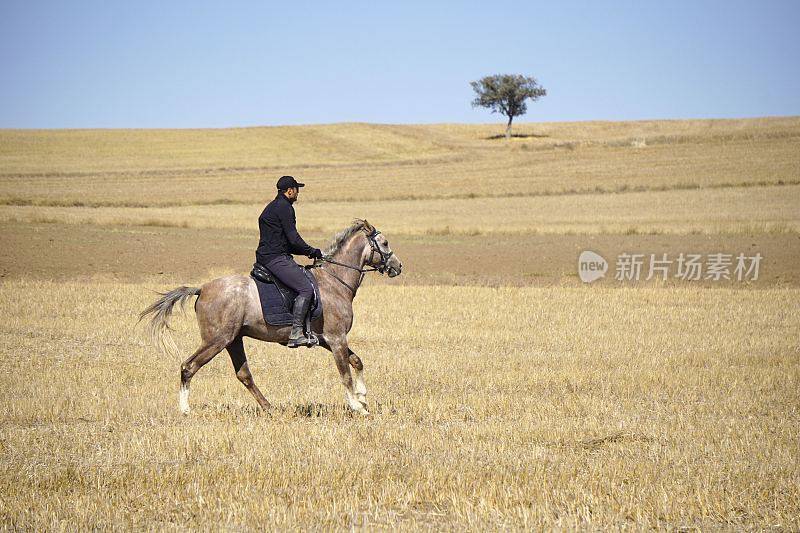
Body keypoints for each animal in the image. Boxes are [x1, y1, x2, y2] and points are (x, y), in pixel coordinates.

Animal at [138, 219, 404, 416]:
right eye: (384, 242)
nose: (398, 267)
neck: (334, 281)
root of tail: (202, 288)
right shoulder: (336, 338)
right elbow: (345, 374)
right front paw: (358, 407)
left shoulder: (327, 341)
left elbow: (357, 361)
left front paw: (363, 397)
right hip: (216, 340)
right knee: (188, 366)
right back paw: (185, 410)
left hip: (233, 340)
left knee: (244, 375)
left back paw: (269, 408)